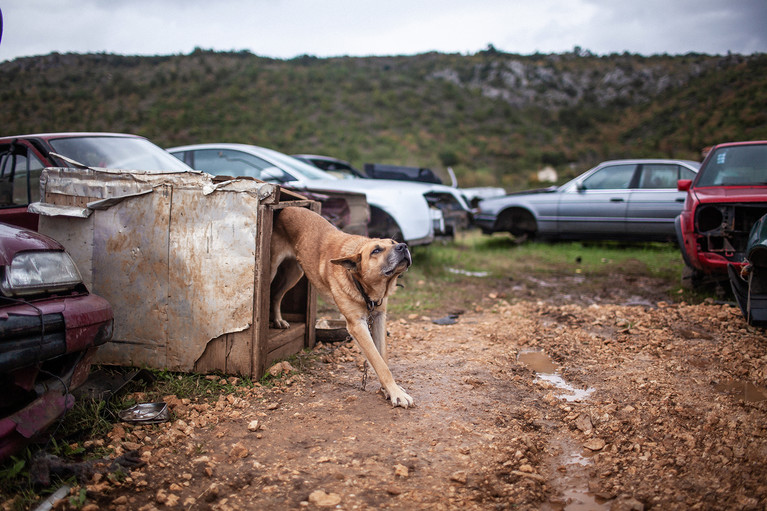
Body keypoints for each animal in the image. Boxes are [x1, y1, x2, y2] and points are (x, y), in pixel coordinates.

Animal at [270, 206, 414, 410]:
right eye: (376, 250)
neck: (365, 287)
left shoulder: (378, 317)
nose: (403, 246)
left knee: (276, 295)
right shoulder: (357, 325)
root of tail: (287, 207)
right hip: (272, 268)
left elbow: (383, 356)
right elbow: (379, 362)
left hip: (294, 273)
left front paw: (388, 389)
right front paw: (396, 393)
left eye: (393, 242)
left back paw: (278, 320)